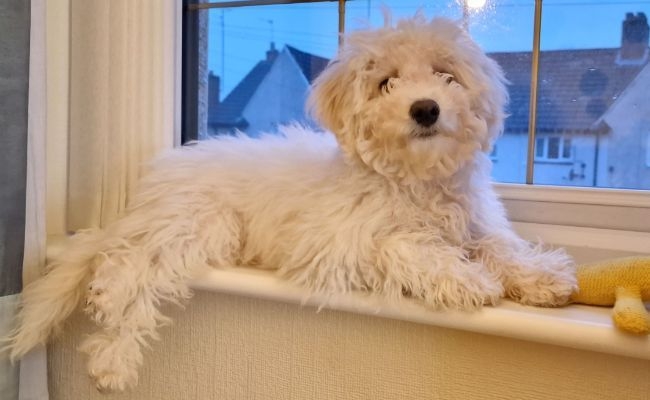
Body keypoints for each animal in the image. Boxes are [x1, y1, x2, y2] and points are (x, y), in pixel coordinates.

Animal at [5, 15, 572, 390]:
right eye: (386, 82)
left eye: (445, 73)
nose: (426, 108)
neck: (416, 179)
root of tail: (151, 189)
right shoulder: (341, 242)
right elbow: (407, 245)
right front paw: (465, 279)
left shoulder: (475, 222)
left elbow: (501, 246)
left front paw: (542, 279)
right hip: (195, 226)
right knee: (127, 274)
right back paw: (112, 347)